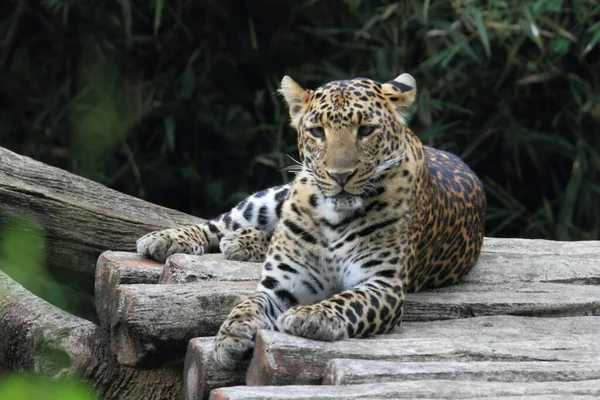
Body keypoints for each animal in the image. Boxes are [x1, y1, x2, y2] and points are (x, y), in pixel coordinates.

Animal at [137, 72, 488, 368]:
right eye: (318, 131)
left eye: (366, 130)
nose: (340, 175)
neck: (335, 219)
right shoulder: (281, 284)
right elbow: (248, 303)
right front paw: (230, 335)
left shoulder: (382, 284)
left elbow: (348, 300)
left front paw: (310, 316)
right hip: (273, 196)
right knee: (222, 223)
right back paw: (170, 239)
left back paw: (243, 243)